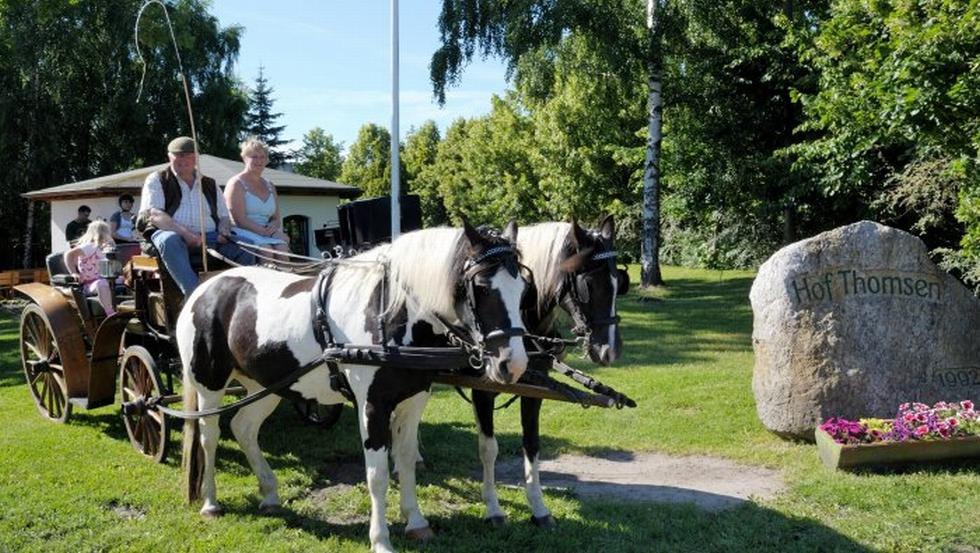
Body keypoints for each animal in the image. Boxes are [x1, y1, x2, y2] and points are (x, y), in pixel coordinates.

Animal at [175, 222, 528, 548]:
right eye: (481, 287)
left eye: (523, 288)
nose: (513, 364)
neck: (388, 315)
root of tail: (206, 288)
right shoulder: (372, 406)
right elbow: (377, 475)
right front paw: (381, 540)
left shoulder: (413, 400)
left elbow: (406, 460)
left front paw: (415, 522)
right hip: (209, 385)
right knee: (208, 436)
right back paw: (210, 502)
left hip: (265, 386)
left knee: (244, 428)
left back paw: (270, 492)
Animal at [464, 215, 624, 528]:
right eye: (588, 284)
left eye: (618, 282)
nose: (609, 350)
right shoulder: (482, 391)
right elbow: (488, 448)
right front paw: (493, 508)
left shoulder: (534, 392)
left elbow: (531, 445)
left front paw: (538, 507)